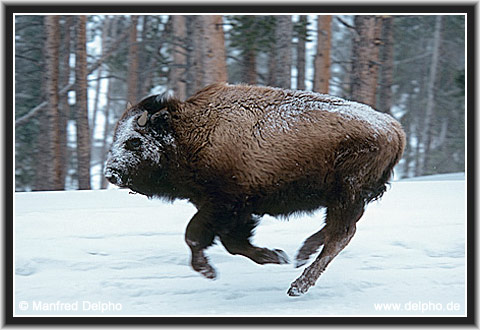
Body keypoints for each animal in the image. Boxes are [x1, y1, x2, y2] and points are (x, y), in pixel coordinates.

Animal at [104, 83, 404, 296]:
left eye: (133, 141)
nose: (110, 173)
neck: (188, 132)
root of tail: (395, 128)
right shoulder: (234, 211)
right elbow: (234, 244)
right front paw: (276, 256)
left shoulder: (223, 205)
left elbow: (195, 236)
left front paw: (208, 271)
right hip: (342, 198)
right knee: (333, 231)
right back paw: (300, 256)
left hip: (347, 193)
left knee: (340, 236)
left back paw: (297, 286)